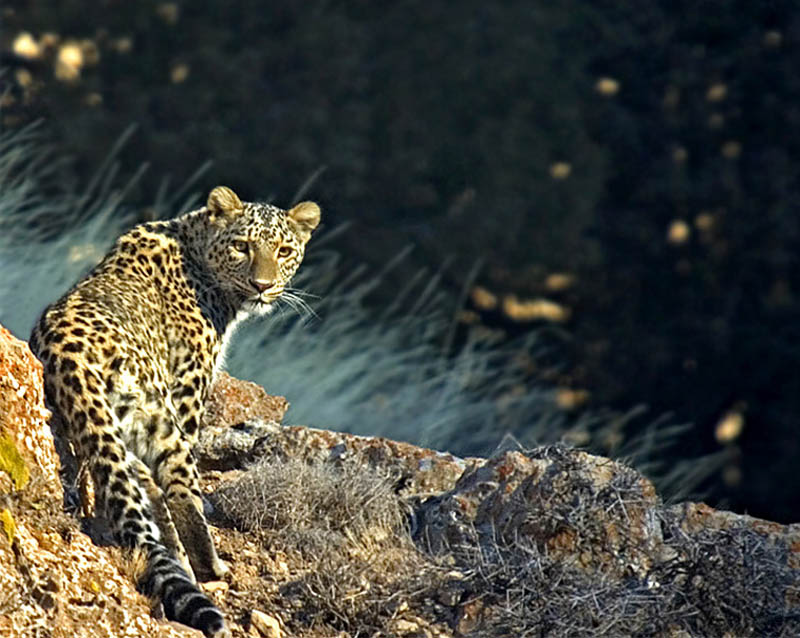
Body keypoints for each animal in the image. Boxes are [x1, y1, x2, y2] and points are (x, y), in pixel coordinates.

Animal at [28, 188, 322, 636]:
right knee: (178, 489)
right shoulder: (189, 389)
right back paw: (206, 565)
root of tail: (68, 353)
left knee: (140, 484)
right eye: (242, 246)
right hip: (160, 415)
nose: (262, 286)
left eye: (284, 251)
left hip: (118, 426)